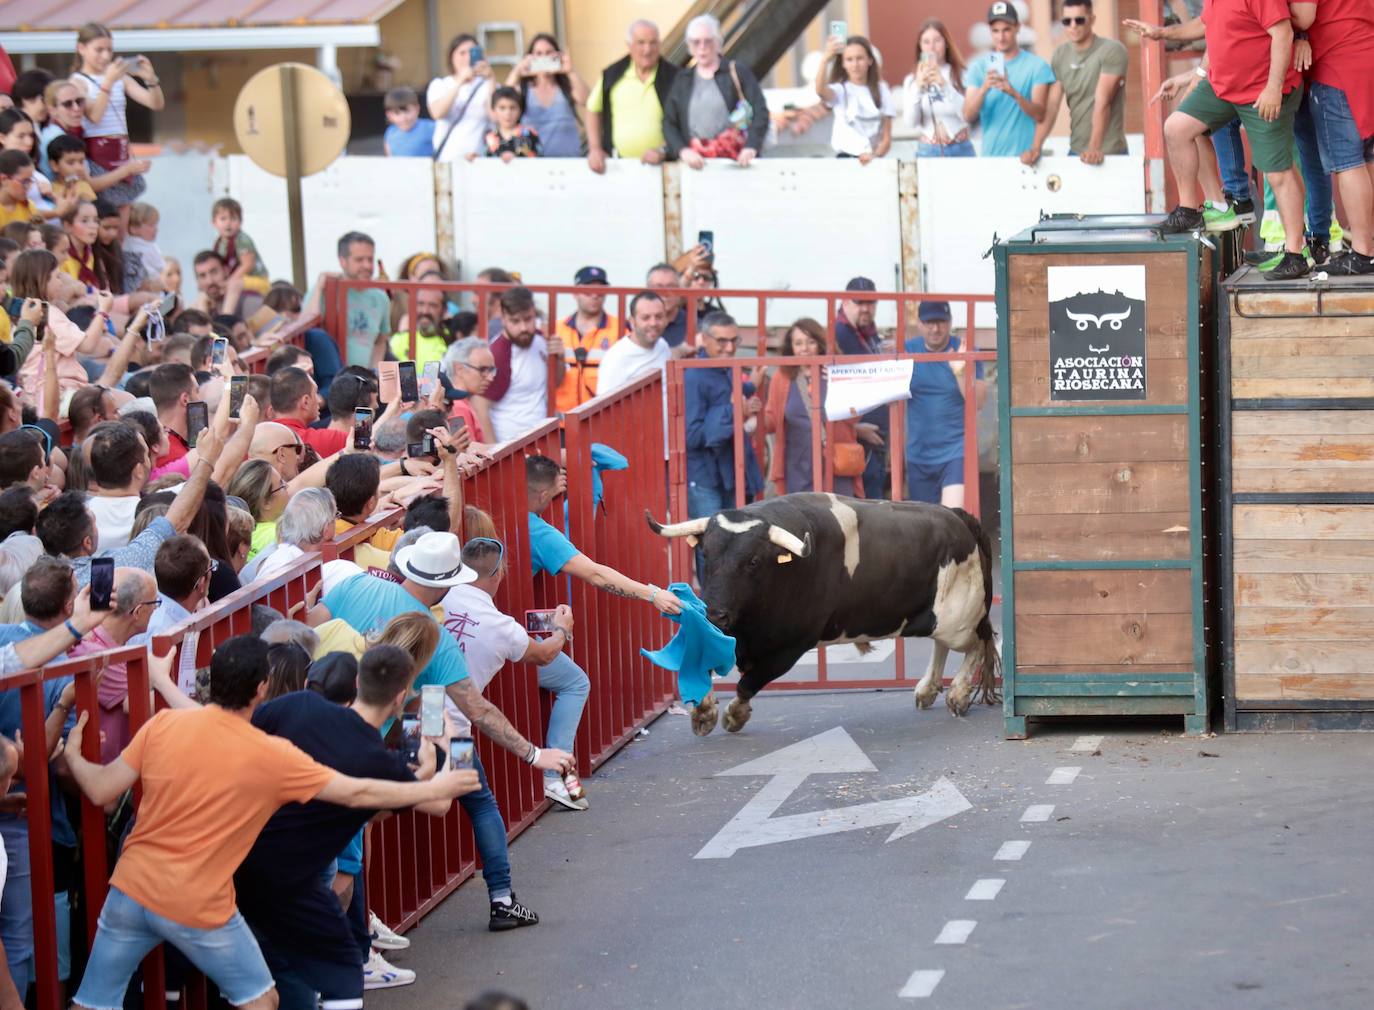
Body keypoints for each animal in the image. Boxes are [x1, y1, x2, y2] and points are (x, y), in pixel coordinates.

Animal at [643, 494, 1000, 736]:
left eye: (753, 562)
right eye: (705, 554)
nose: (715, 613)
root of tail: (956, 516)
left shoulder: (791, 647)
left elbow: (749, 683)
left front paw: (735, 714)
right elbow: (700, 664)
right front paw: (703, 711)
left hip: (959, 618)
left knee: (979, 644)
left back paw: (957, 694)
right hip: (943, 618)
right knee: (944, 644)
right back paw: (927, 689)